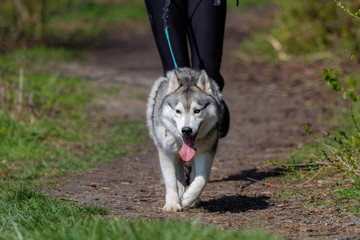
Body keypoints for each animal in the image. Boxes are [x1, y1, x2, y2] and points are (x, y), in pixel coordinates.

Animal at [146, 67, 222, 212]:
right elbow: (170, 180)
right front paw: (172, 204)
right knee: (179, 170)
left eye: (197, 110)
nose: (186, 130)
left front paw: (189, 198)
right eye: (178, 111)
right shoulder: (166, 153)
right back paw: (180, 189)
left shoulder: (206, 151)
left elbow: (202, 178)